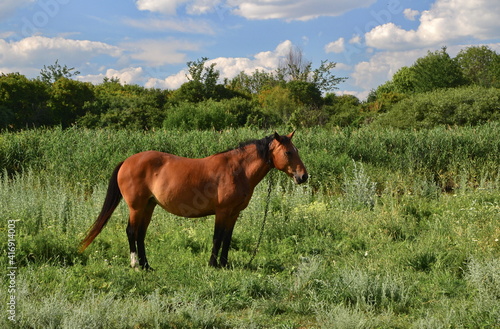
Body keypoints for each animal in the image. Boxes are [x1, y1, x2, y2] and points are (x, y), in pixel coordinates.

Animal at [79, 131, 306, 270]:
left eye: (296, 150)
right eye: (288, 152)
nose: (303, 176)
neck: (237, 169)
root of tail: (127, 161)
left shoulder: (234, 213)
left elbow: (227, 239)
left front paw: (224, 264)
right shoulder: (222, 212)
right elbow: (217, 238)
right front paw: (213, 264)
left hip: (149, 206)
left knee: (141, 234)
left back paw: (147, 265)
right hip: (136, 207)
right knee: (132, 232)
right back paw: (136, 265)